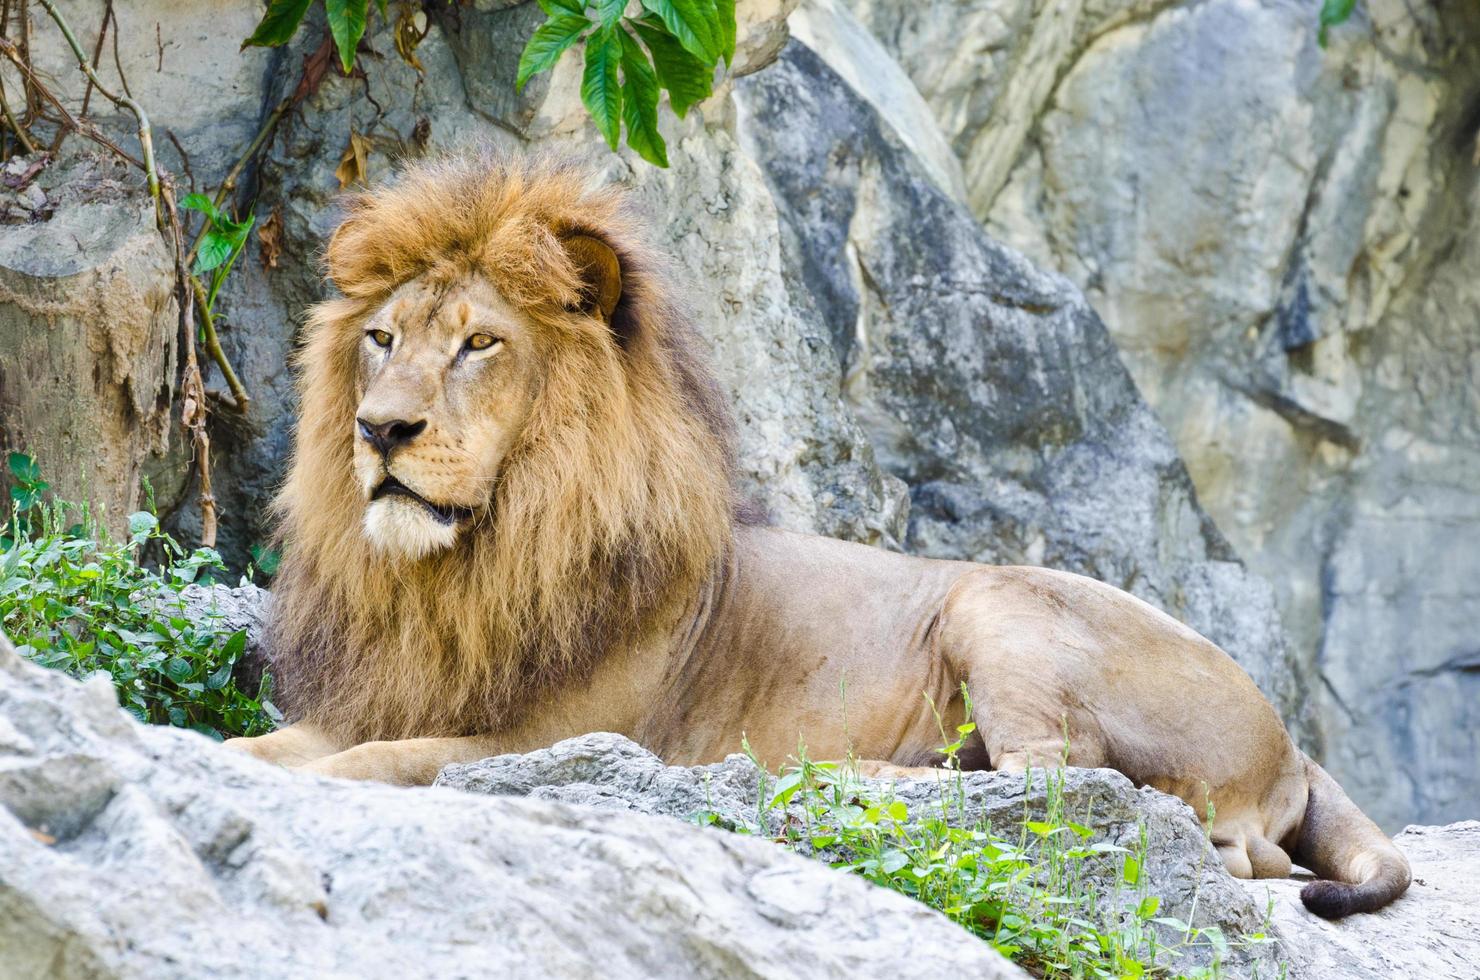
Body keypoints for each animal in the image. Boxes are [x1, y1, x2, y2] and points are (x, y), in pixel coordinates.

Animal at [224, 153, 1403, 923]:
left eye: (479, 344)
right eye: (382, 338)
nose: (381, 430)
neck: (459, 569)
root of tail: (1294, 741)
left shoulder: (560, 735)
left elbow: (389, 761)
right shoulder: (385, 693)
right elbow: (275, 749)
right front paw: (232, 759)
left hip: (996, 600)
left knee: (1072, 788)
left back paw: (844, 773)